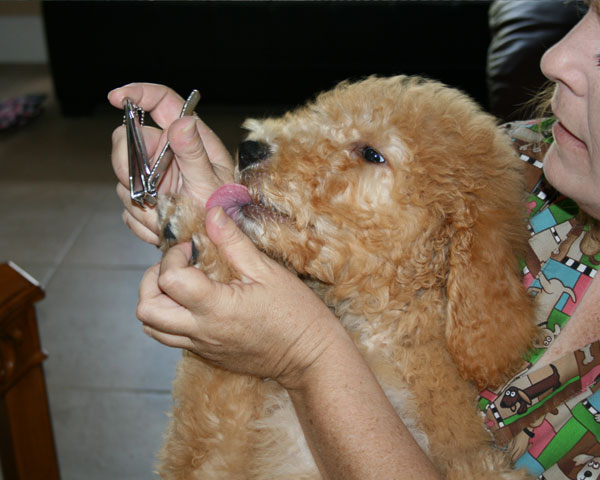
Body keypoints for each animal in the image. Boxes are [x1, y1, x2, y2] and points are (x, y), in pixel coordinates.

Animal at [156, 76, 540, 480]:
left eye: (372, 154)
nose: (248, 150)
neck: (371, 331)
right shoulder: (215, 449)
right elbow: (212, 399)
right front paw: (193, 223)